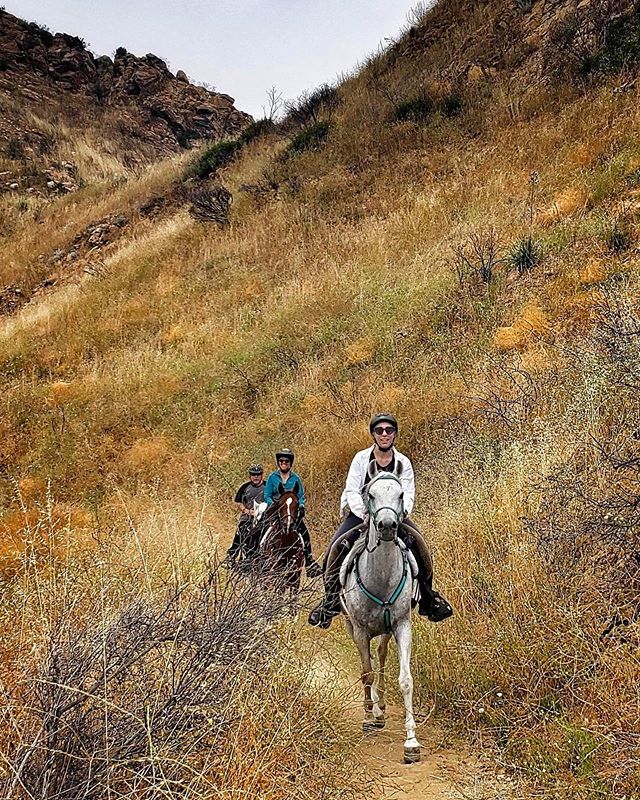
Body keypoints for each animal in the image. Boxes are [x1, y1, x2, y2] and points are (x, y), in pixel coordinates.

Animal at [340, 462, 420, 764]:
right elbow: (366, 673)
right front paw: (367, 717)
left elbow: (405, 679)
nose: (387, 526)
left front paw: (411, 742)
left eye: (401, 494)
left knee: (382, 657)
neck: (381, 577)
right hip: (352, 627)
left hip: (385, 631)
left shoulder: (402, 625)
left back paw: (382, 706)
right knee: (370, 665)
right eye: (370, 495)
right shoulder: (361, 631)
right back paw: (373, 711)